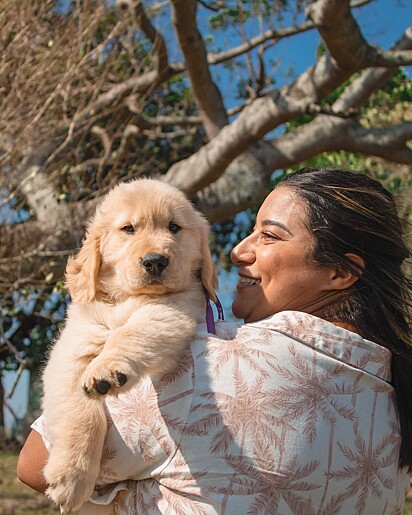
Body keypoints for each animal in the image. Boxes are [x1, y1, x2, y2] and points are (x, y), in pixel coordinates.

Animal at [41, 177, 219, 512]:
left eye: (174, 227)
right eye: (128, 229)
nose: (155, 261)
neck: (126, 297)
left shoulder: (172, 310)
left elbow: (132, 333)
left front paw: (108, 370)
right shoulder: (75, 344)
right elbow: (79, 410)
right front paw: (71, 476)